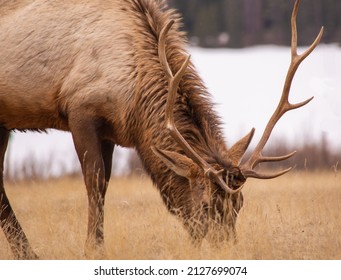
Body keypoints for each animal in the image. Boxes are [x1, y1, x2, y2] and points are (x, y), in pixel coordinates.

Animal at [0, 0, 322, 260]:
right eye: (206, 206)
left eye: (240, 203)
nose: (227, 250)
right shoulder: (80, 111)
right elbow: (95, 183)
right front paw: (93, 250)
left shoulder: (110, 132)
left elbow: (105, 185)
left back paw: (27, 254)